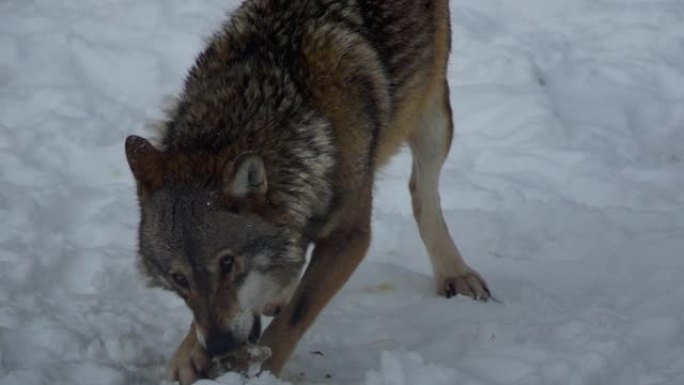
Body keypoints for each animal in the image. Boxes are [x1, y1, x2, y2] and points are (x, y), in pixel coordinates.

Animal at [125, 0, 492, 382]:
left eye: (228, 263)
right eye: (178, 278)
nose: (220, 346)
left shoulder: (350, 236)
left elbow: (296, 315)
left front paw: (257, 371)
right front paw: (187, 354)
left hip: (434, 119)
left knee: (423, 194)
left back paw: (455, 273)